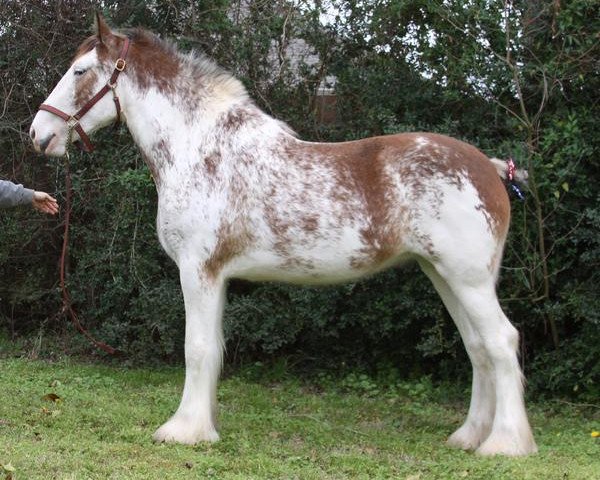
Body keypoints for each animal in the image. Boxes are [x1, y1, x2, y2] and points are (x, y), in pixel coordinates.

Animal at [28, 15, 536, 456]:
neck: (200, 149)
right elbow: (214, 350)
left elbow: (197, 348)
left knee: (501, 342)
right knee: (478, 348)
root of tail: (491, 169)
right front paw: (204, 425)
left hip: (467, 279)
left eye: (80, 71)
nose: (37, 133)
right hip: (444, 275)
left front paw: (183, 430)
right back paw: (469, 436)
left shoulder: (197, 270)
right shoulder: (216, 277)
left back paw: (505, 443)